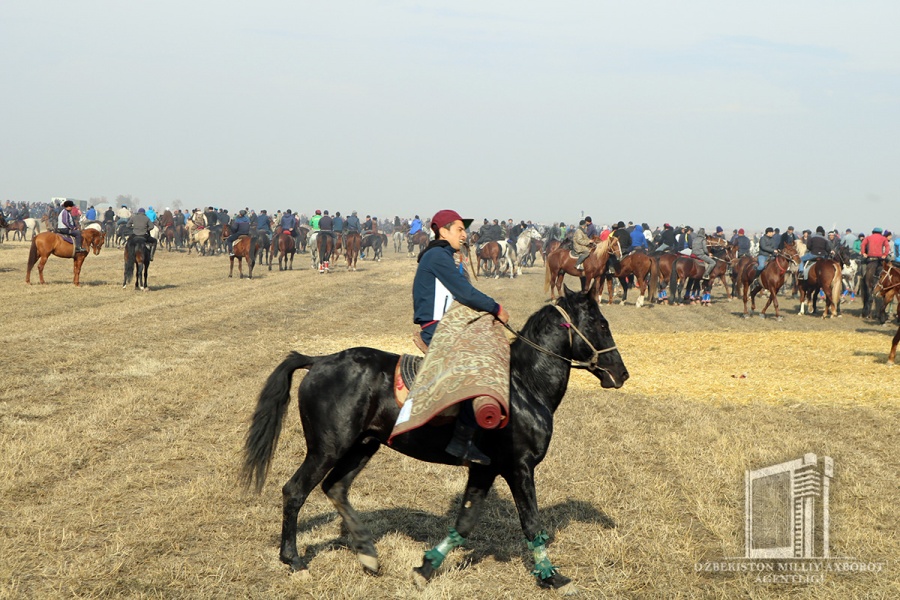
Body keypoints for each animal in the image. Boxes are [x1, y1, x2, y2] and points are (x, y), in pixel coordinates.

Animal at [243, 290, 628, 592]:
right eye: (601, 324)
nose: (621, 374)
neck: (523, 385)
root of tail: (319, 361)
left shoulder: (484, 470)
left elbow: (464, 523)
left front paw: (425, 568)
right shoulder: (519, 468)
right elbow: (531, 523)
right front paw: (552, 577)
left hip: (362, 445)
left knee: (335, 488)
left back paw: (367, 553)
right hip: (327, 448)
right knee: (295, 491)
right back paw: (294, 561)